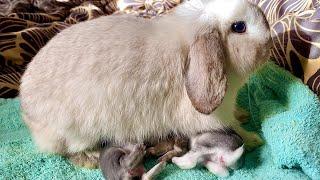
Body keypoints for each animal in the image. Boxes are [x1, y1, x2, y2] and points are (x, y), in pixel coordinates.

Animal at [20, 0, 270, 167]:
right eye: (239, 27)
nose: (270, 41)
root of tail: (28, 113)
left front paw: (243, 114)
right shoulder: (215, 117)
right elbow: (235, 129)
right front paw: (254, 139)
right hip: (77, 132)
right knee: (67, 151)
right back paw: (91, 158)